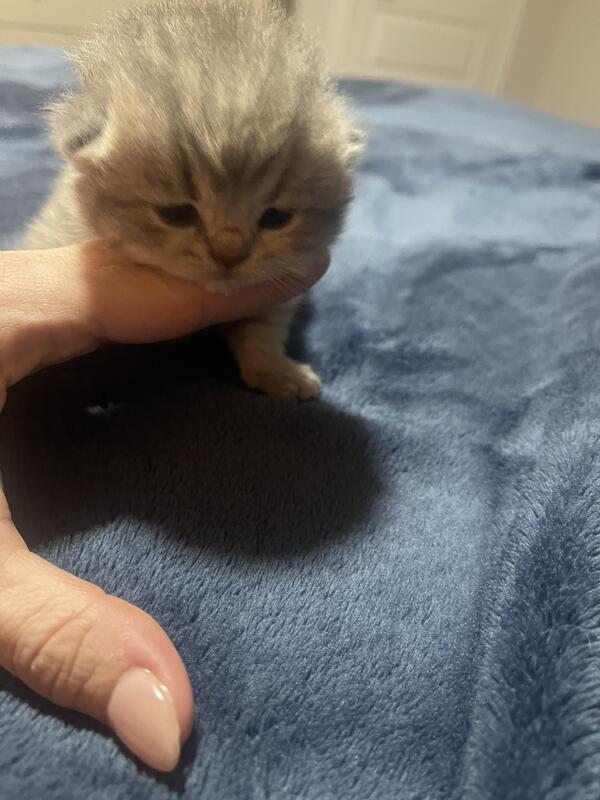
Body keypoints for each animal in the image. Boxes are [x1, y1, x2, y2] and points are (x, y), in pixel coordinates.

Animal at [23, 0, 363, 397]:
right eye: (176, 214)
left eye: (276, 218)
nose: (229, 256)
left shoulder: (280, 284)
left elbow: (262, 330)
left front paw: (277, 372)